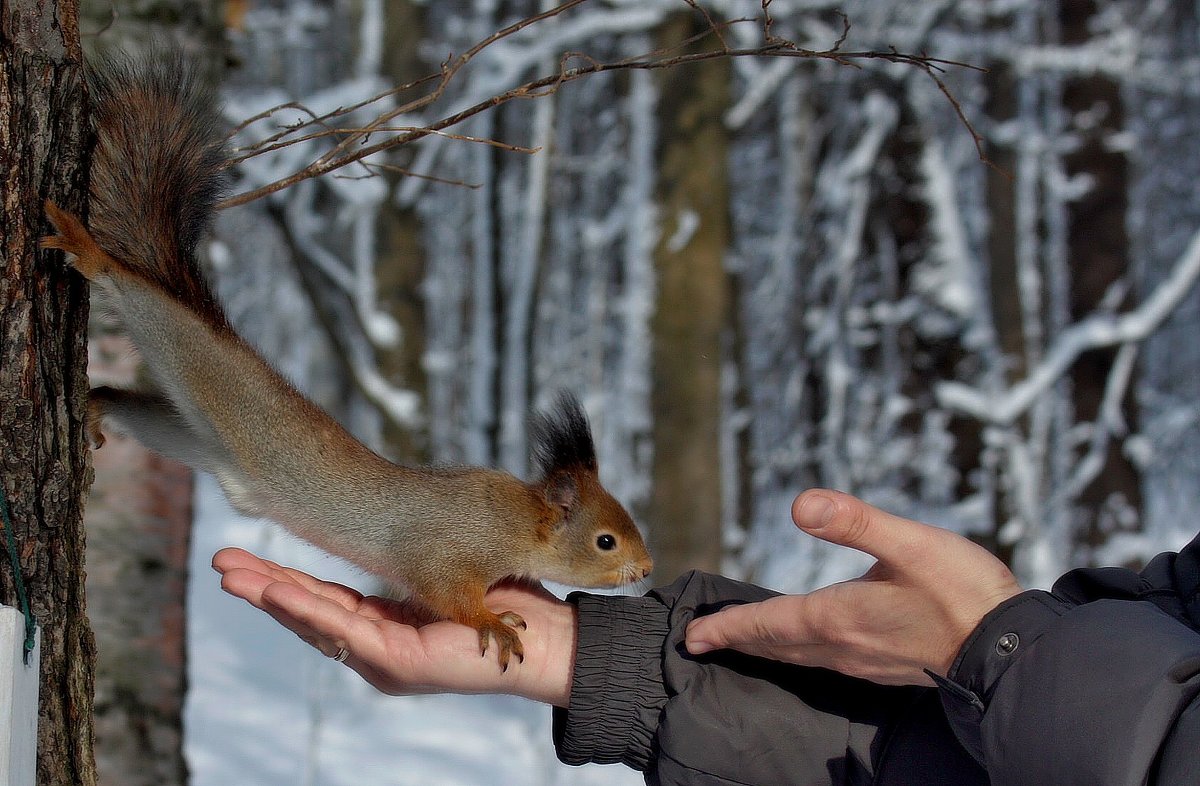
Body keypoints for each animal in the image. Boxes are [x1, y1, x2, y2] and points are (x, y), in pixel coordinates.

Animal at [39, 53, 657, 672]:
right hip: (202, 363)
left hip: (193, 438)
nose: (648, 569)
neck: (515, 522)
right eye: (605, 540)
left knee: (139, 408)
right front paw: (492, 622)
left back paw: (98, 405)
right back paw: (87, 252)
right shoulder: (447, 552)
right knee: (139, 299)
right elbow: (448, 596)